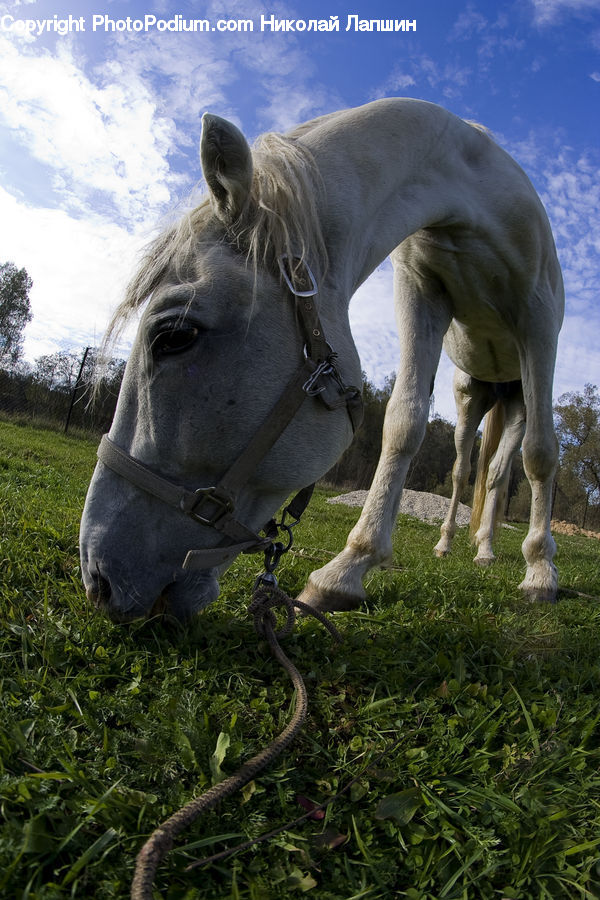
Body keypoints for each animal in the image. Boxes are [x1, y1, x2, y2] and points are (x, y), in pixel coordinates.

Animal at [80, 98, 564, 621]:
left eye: (175, 336)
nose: (98, 579)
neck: (474, 194)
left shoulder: (539, 321)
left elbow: (541, 454)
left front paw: (541, 572)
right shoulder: (422, 294)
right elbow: (404, 423)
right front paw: (348, 570)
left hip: (519, 393)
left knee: (500, 470)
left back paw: (491, 551)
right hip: (471, 393)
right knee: (465, 470)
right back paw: (454, 544)